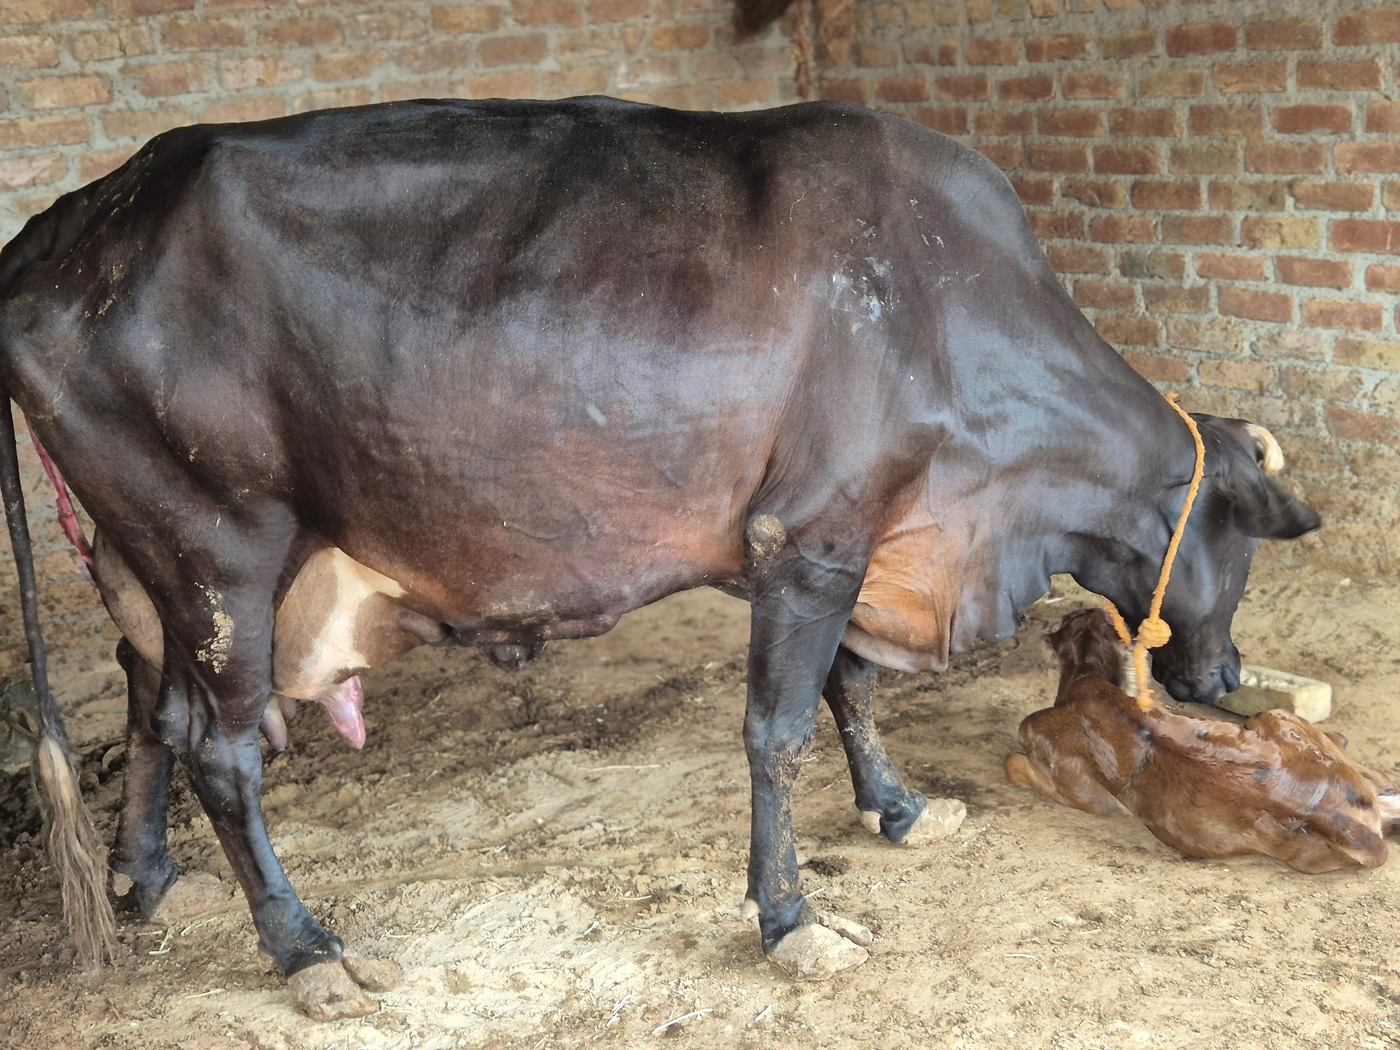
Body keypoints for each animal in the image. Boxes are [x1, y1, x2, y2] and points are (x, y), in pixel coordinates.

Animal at [0, 97, 1319, 1017]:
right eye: (1242, 537)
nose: (1220, 677)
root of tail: (68, 224)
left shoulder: (831, 540)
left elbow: (847, 686)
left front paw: (896, 809)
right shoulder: (811, 535)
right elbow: (778, 728)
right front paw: (789, 920)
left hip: (153, 569)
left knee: (158, 712)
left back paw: (147, 878)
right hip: (220, 552)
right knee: (222, 750)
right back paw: (305, 949)